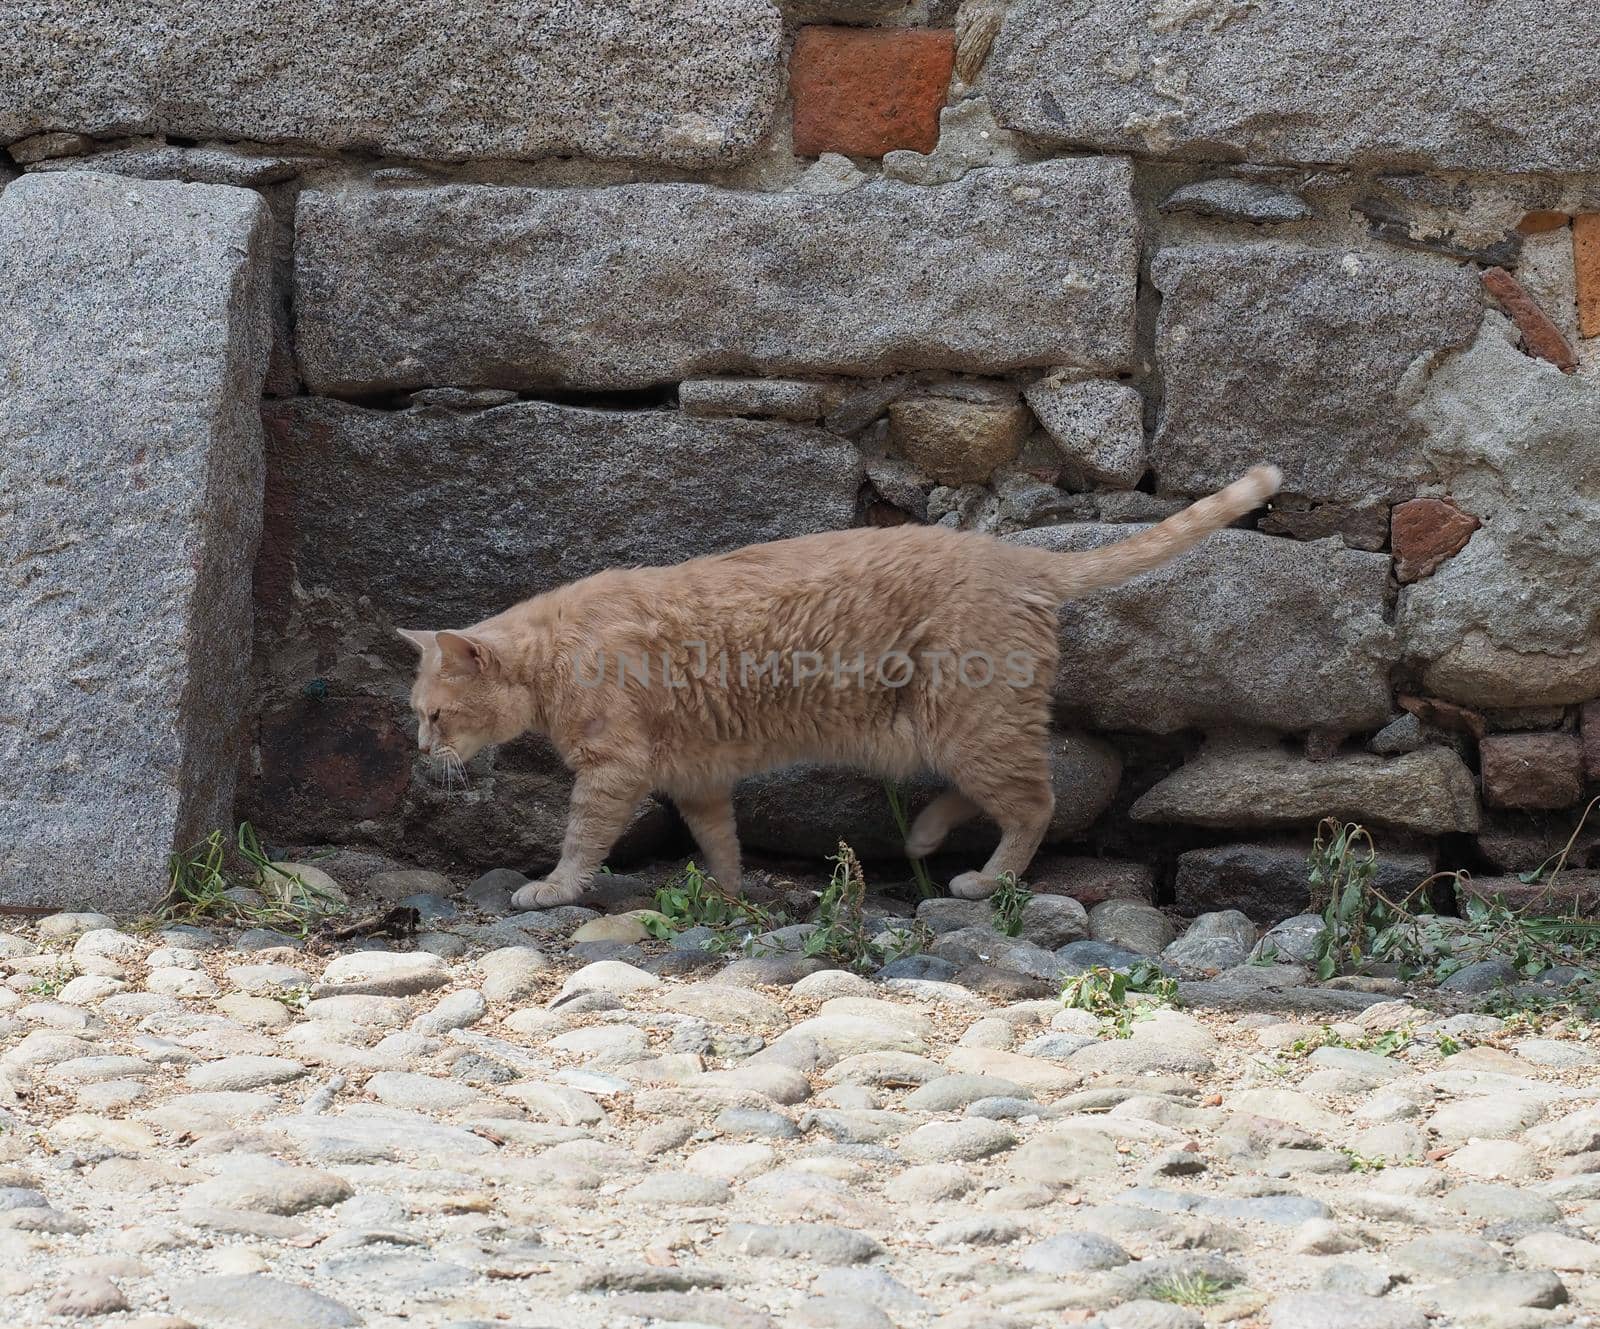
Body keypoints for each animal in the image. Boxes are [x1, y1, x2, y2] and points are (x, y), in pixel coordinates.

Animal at [406, 463, 1280, 908]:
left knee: (1036, 802)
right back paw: (924, 835)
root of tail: (1017, 555)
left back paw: (982, 875)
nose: (419, 752)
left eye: (436, 716)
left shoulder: (612, 770)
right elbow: (720, 841)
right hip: (943, 730)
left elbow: (581, 838)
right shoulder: (697, 776)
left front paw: (552, 889)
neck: (556, 651)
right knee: (999, 791)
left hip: (967, 723)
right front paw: (730, 893)